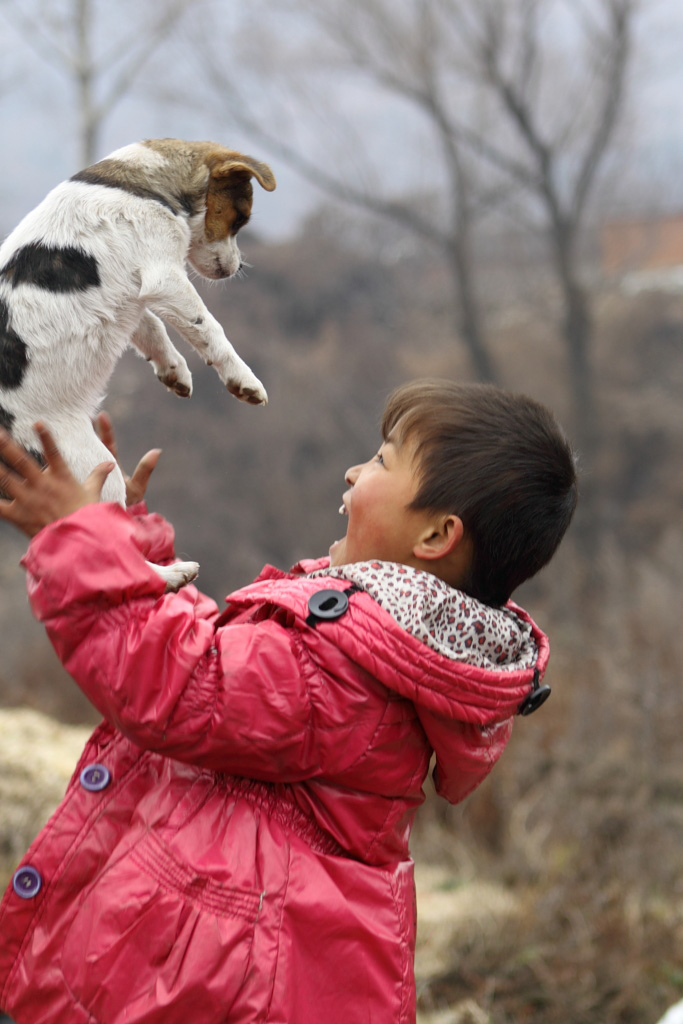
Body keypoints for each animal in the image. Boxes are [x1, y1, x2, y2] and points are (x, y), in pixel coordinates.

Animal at [1, 138, 278, 585]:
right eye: (240, 219)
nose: (236, 269)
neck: (143, 185)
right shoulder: (165, 278)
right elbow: (209, 329)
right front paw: (244, 380)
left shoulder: (135, 297)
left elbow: (151, 328)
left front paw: (174, 371)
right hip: (93, 471)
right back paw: (167, 575)